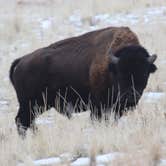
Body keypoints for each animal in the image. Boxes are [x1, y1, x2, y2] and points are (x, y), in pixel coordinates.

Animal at [9, 26, 158, 136]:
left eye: (144, 73)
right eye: (120, 74)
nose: (131, 97)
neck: (111, 66)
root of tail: (21, 61)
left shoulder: (115, 108)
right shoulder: (99, 106)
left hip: (38, 105)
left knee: (26, 122)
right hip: (30, 104)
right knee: (22, 121)